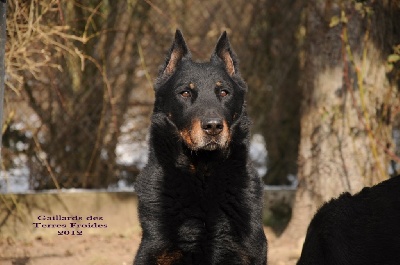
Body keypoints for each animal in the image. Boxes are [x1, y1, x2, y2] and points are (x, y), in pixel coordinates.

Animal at [134, 29, 268, 262]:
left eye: (223, 92)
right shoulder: (155, 251)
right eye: (185, 93)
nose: (213, 126)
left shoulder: (249, 251)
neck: (203, 174)